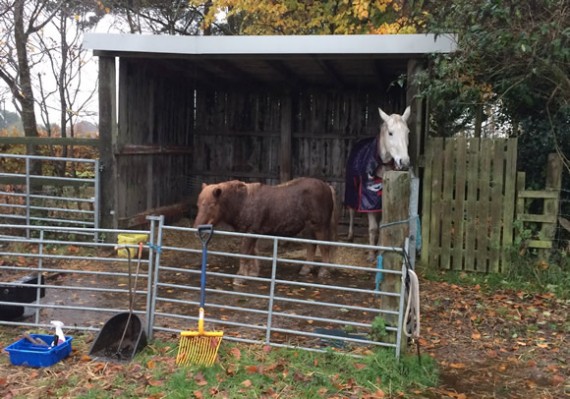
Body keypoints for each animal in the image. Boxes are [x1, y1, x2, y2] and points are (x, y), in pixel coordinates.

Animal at [195, 178, 338, 284]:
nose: (197, 228)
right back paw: (306, 268)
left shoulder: (250, 232)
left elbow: (245, 254)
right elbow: (253, 252)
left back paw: (324, 271)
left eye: (212, 205)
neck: (243, 202)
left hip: (319, 227)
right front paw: (253, 272)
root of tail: (327, 186)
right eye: (198, 204)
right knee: (311, 245)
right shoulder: (250, 233)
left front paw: (240, 277)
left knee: (324, 246)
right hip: (308, 228)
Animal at [342, 107, 408, 262]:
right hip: (352, 190)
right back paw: (350, 235)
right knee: (352, 211)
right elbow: (373, 228)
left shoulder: (382, 201)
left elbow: (382, 226)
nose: (404, 162)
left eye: (407, 132)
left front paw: (380, 251)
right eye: (390, 133)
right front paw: (372, 254)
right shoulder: (368, 201)